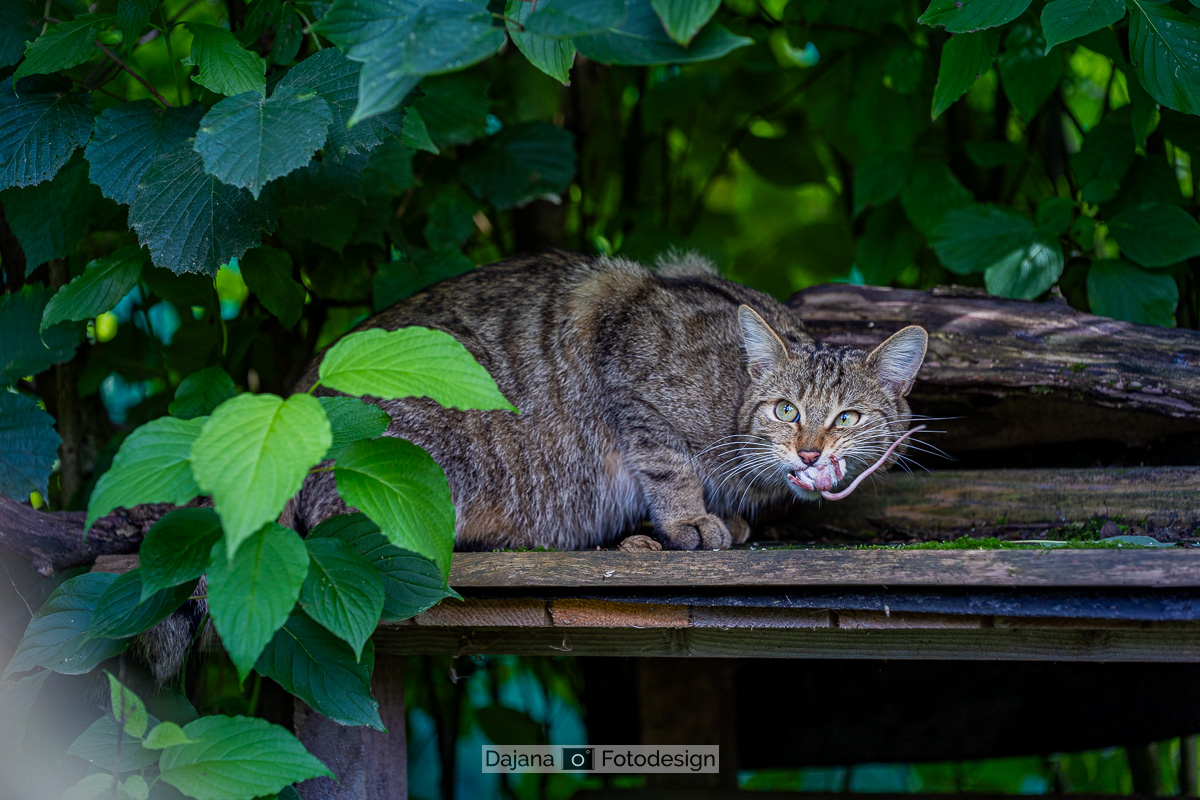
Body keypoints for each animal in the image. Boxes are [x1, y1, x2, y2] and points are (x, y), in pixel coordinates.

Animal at [288, 253, 926, 554]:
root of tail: (301, 389)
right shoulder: (627, 356)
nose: (811, 453)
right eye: (786, 410)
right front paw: (689, 519)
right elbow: (669, 464)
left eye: (848, 418)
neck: (733, 395)